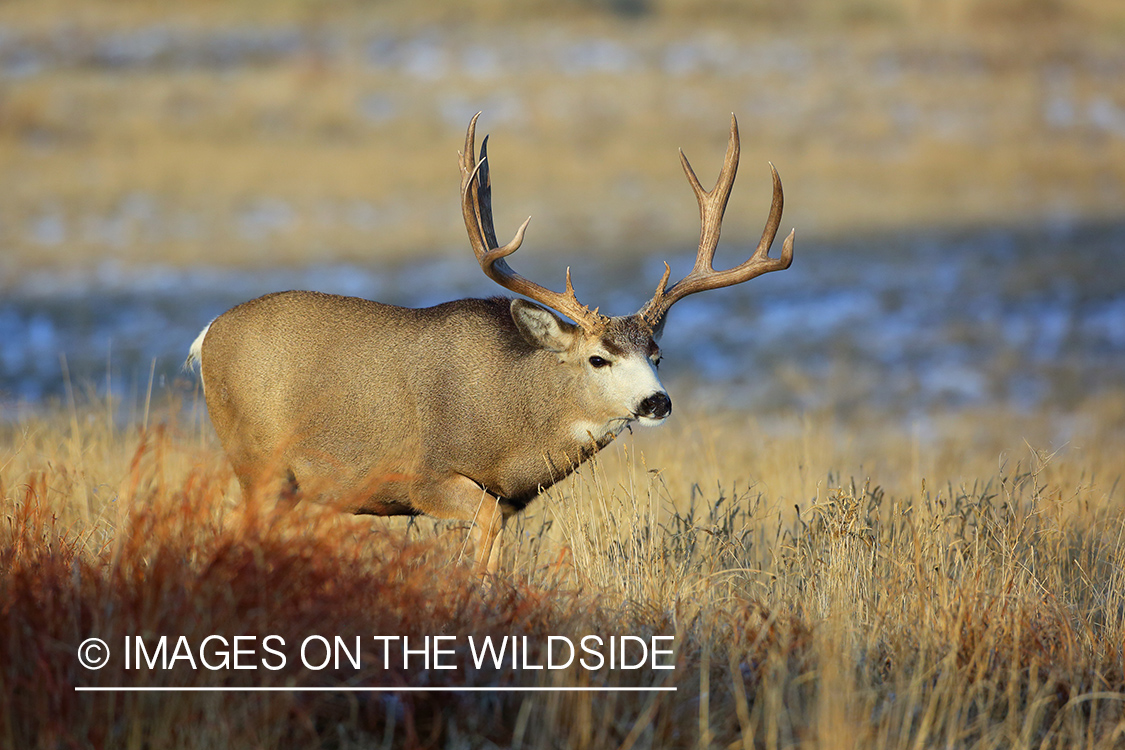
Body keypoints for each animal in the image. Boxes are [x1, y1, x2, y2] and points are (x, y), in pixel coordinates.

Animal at [189, 114, 796, 580]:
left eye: (657, 355)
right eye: (598, 357)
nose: (657, 402)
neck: (512, 421)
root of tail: (206, 334)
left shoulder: (506, 502)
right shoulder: (425, 475)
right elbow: (479, 541)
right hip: (257, 461)